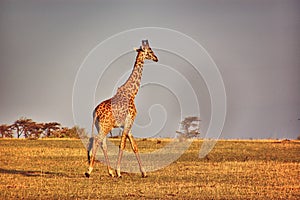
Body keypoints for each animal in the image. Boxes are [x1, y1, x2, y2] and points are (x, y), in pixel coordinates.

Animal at [85, 39, 157, 177]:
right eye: (150, 50)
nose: (156, 58)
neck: (132, 93)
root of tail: (95, 112)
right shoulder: (129, 121)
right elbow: (122, 145)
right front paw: (119, 171)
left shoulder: (127, 124)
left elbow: (134, 146)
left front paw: (144, 172)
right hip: (105, 126)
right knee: (97, 141)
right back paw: (89, 170)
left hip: (100, 126)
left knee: (103, 144)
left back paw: (110, 172)